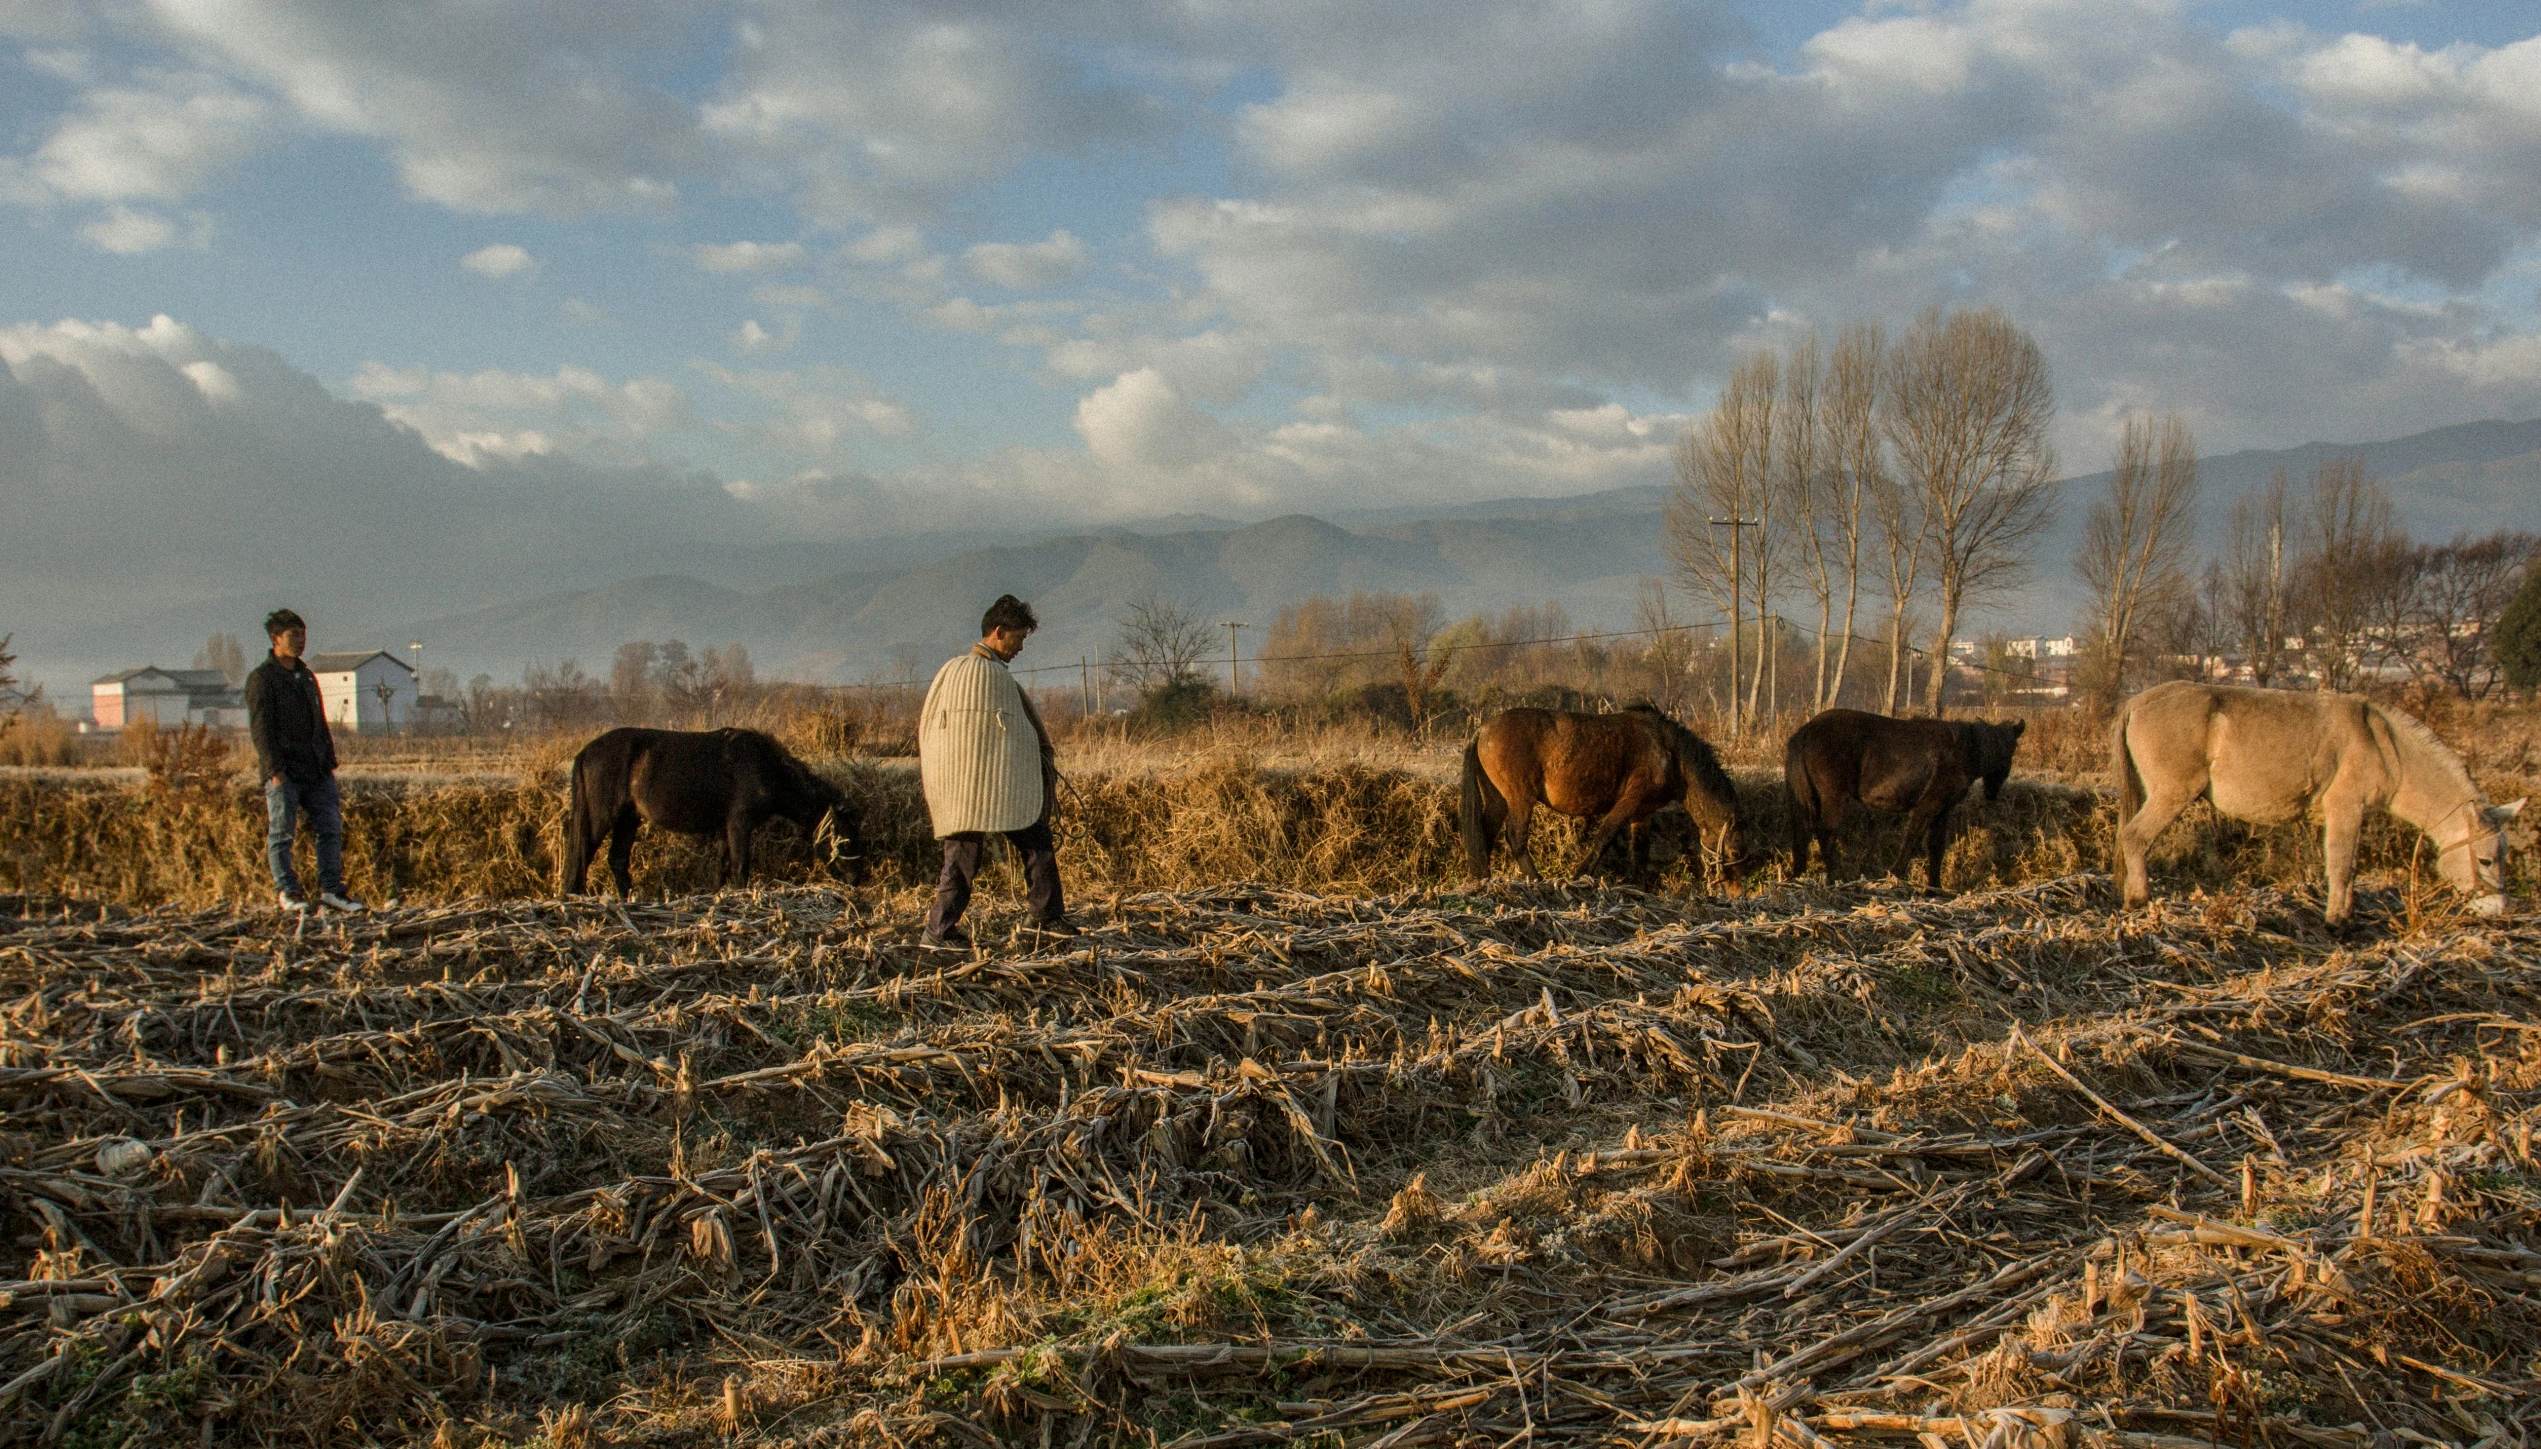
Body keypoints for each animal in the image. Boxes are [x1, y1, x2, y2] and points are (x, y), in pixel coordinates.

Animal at [561, 727, 869, 894]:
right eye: (845, 839)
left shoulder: (724, 829)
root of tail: (585, 753)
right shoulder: (739, 825)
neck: (765, 768)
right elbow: (740, 869)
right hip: (601, 819)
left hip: (627, 819)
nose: (855, 880)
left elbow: (721, 870)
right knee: (581, 858)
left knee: (617, 861)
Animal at [1788, 706, 2022, 884]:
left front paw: (1934, 888)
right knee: (1826, 833)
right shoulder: (1928, 806)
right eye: (2009, 753)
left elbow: (1936, 848)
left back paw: (1800, 875)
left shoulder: (1943, 811)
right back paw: (1837, 878)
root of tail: (1807, 730)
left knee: (1804, 832)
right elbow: (1912, 838)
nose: (1992, 792)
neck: (1963, 749)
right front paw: (1895, 874)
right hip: (1834, 798)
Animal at [2103, 681, 2520, 925]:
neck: (2385, 745)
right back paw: (2139, 899)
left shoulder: (2348, 817)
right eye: (2485, 860)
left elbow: (2347, 865)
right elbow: (2342, 866)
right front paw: (2337, 922)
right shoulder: (2345, 809)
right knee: (2136, 838)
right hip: (2171, 795)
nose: (2498, 911)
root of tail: (2139, 701)